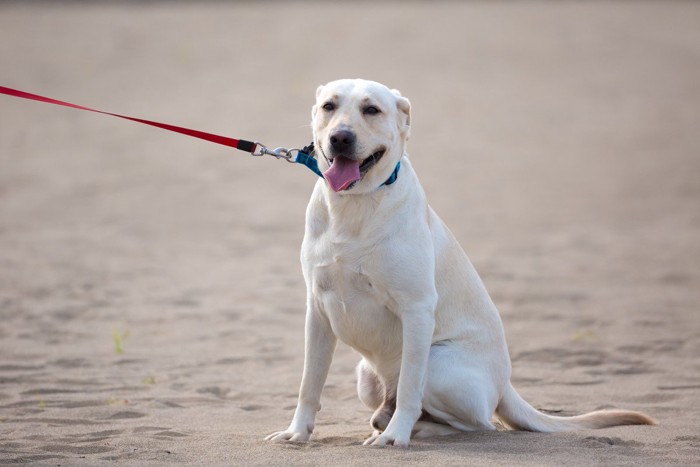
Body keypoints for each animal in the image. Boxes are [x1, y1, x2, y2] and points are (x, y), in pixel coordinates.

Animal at [266, 78, 652, 448]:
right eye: (328, 106)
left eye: (371, 109)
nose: (340, 137)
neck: (354, 205)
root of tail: (506, 385)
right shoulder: (317, 310)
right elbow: (309, 384)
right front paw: (297, 432)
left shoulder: (417, 309)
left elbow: (409, 389)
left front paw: (397, 435)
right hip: (366, 376)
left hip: (438, 365)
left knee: (476, 423)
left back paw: (407, 430)